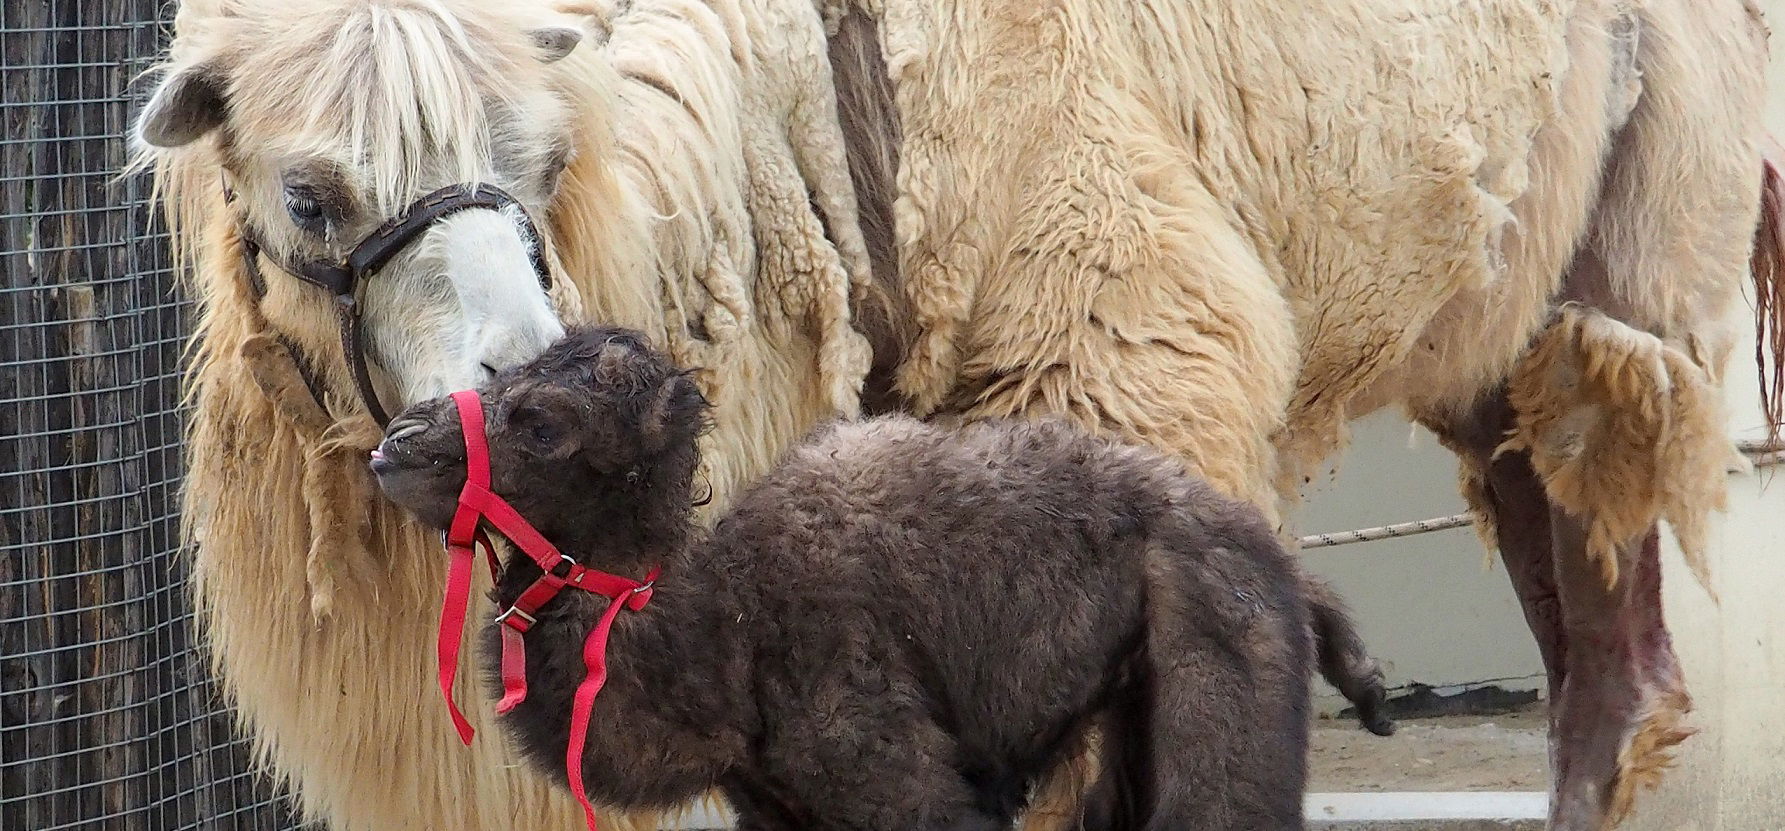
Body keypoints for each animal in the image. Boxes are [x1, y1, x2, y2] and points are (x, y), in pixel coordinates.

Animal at [365, 324, 1392, 831]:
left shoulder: (886, 765)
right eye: (497, 372)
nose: (395, 441)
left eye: (539, 419)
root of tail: (1277, 561)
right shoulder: (773, 808)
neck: (717, 633)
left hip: (1218, 646)